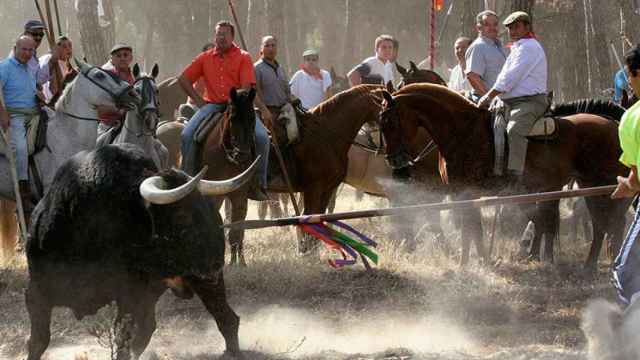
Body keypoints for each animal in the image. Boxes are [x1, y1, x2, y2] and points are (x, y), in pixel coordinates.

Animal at [25, 144, 242, 360]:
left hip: (202, 283)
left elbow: (123, 338)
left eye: (207, 207)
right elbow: (38, 341)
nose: (217, 262)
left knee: (227, 319)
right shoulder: (36, 292)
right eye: (182, 215)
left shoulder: (129, 295)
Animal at [378, 84, 632, 268]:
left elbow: (470, 229)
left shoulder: (465, 192)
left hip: (602, 185)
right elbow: (475, 229)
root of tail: (613, 125)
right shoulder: (465, 194)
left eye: (390, 121)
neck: (462, 131)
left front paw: (467, 264)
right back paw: (590, 267)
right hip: (590, 186)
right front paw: (480, 261)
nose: (394, 161)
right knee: (601, 224)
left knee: (608, 223)